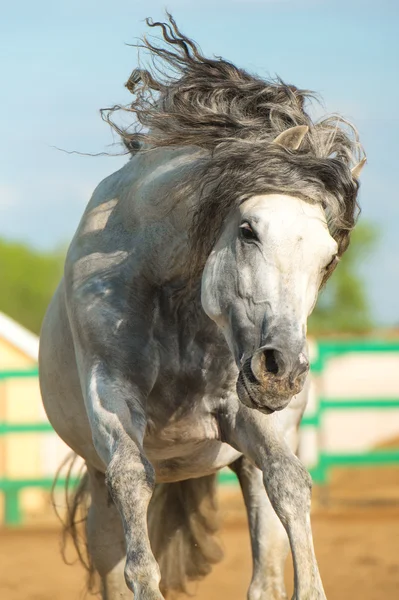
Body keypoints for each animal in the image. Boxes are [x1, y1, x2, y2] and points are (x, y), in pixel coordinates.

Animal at [39, 14, 368, 600]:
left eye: (329, 256)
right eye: (248, 229)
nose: (282, 372)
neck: (169, 285)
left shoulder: (239, 404)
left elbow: (290, 481)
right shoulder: (111, 398)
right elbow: (135, 499)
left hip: (246, 461)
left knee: (266, 558)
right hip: (99, 494)